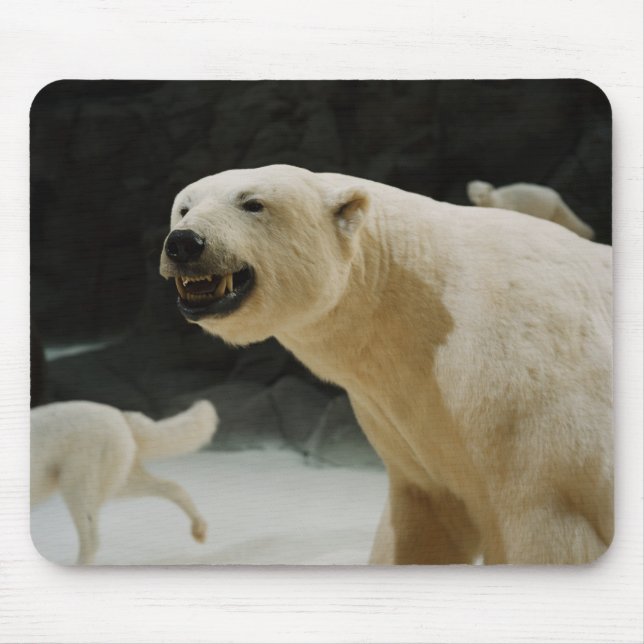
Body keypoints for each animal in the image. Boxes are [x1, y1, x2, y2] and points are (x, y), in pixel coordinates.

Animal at [467, 180, 595, 240]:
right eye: (471, 193)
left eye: (481, 195)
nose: (473, 202)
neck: (496, 199)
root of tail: (557, 197)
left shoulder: (505, 205)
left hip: (542, 207)